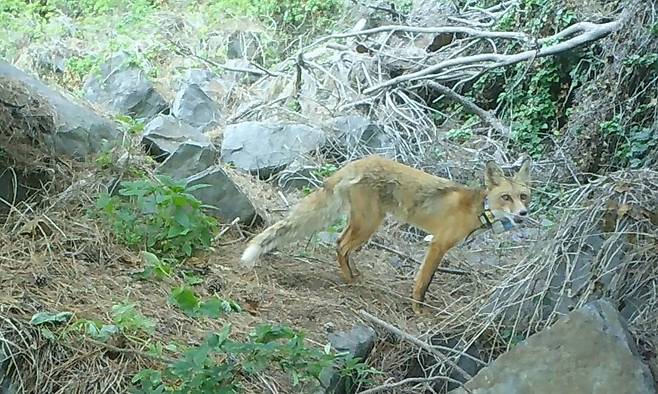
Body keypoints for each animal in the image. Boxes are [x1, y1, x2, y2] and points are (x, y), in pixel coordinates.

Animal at [238, 155, 532, 312]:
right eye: (506, 197)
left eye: (524, 196)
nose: (522, 214)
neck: (478, 210)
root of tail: (356, 162)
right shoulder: (438, 244)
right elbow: (422, 283)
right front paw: (419, 311)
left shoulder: (435, 243)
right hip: (370, 223)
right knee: (341, 245)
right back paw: (350, 281)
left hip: (362, 221)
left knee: (339, 242)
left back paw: (354, 274)